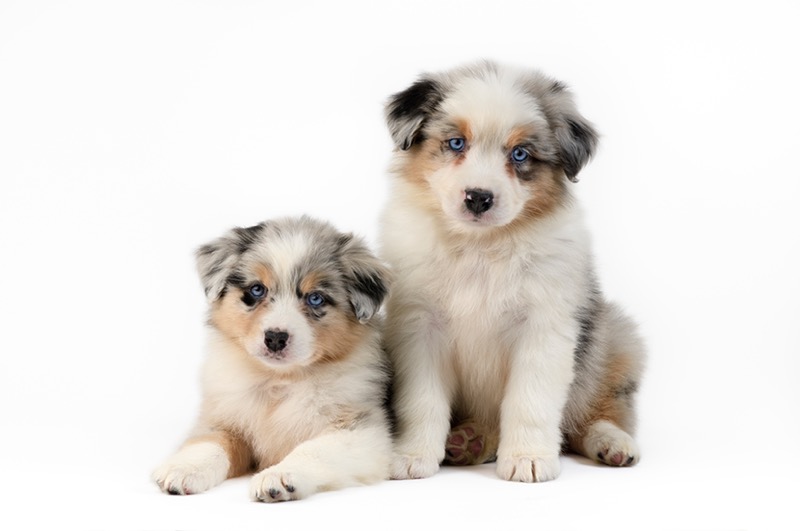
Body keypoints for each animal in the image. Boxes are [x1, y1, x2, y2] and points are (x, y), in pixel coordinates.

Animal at [152, 214, 392, 500]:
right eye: (257, 290)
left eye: (315, 298)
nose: (275, 338)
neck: (280, 380)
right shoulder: (223, 417)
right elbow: (210, 442)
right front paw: (184, 469)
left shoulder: (362, 429)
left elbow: (313, 449)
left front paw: (280, 476)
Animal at [378, 60, 648, 484]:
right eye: (456, 143)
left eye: (520, 153)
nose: (478, 198)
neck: (480, 245)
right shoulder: (419, 325)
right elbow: (421, 400)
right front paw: (411, 455)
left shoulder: (543, 326)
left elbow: (530, 400)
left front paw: (528, 458)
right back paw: (470, 441)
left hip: (615, 340)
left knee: (598, 411)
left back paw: (612, 443)